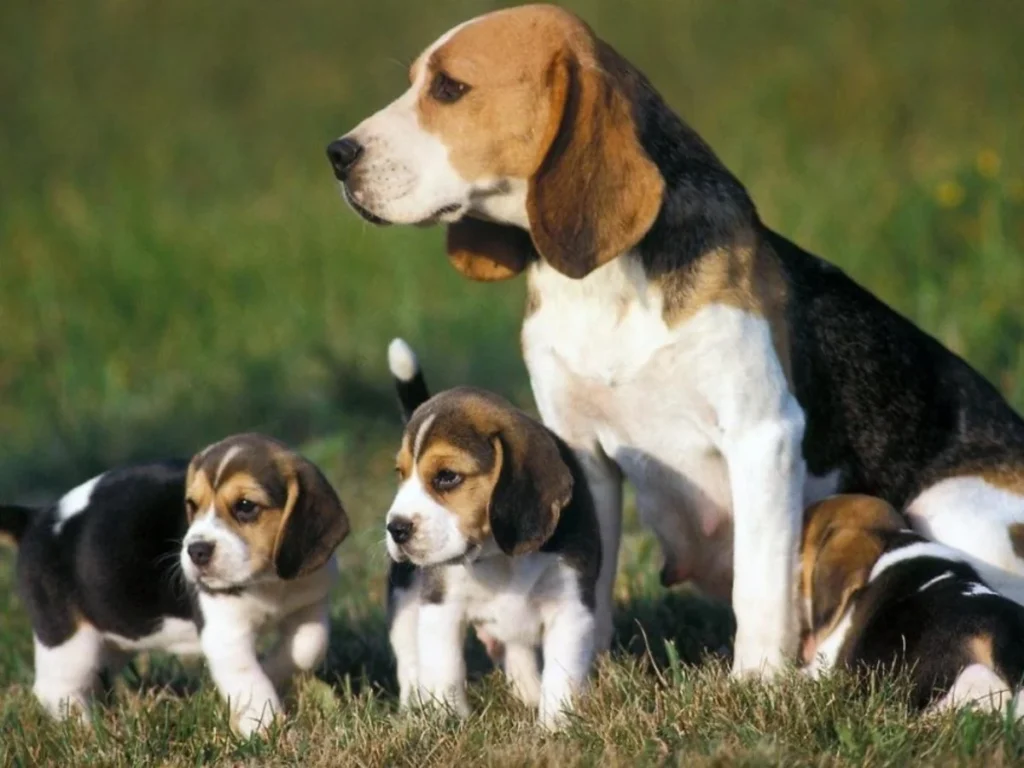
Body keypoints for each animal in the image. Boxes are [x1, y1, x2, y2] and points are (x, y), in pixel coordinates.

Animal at [0, 436, 348, 737]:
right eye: (192, 505)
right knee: (56, 689)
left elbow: (309, 646)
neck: (269, 583)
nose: (196, 551)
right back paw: (86, 732)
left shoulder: (310, 602)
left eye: (246, 506)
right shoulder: (225, 633)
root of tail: (35, 519)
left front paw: (272, 670)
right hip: (68, 638)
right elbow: (249, 680)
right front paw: (266, 729)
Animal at [329, 3, 1024, 675]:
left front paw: (757, 685)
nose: (337, 153)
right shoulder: (581, 451)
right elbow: (590, 576)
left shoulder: (762, 436)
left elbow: (759, 589)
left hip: (948, 505)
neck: (605, 287)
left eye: (449, 88)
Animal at [380, 339, 598, 729]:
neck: (497, 555)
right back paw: (413, 709)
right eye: (400, 474)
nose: (396, 528)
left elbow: (562, 673)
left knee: (518, 651)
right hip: (404, 599)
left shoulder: (571, 607)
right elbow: (445, 668)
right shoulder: (440, 605)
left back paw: (528, 692)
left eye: (447, 476)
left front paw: (555, 726)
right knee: (409, 659)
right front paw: (448, 720)